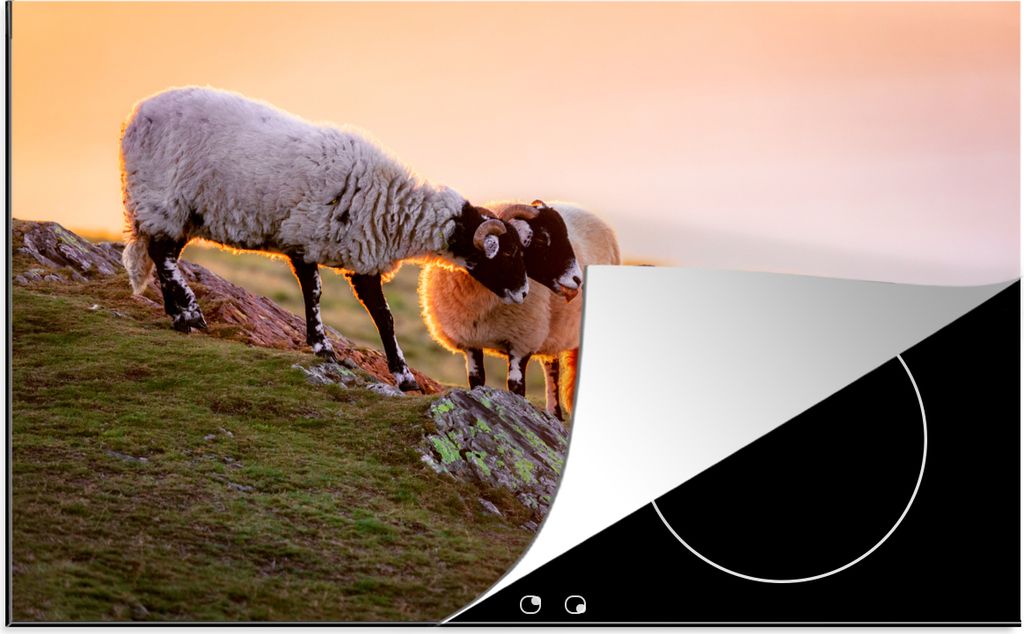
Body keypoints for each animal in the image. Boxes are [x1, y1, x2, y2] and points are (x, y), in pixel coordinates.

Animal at [119, 86, 529, 392]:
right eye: (507, 254)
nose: (525, 293)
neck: (393, 206)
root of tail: (137, 114)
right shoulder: (303, 238)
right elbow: (315, 294)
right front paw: (322, 347)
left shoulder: (363, 259)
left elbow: (385, 317)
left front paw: (404, 376)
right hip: (162, 197)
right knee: (161, 253)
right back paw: (191, 313)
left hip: (183, 212)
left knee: (164, 255)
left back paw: (177, 314)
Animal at [419, 200, 621, 419]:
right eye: (541, 238)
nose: (577, 279)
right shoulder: (470, 342)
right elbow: (477, 380)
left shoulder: (522, 342)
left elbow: (516, 387)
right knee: (552, 369)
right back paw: (554, 415)